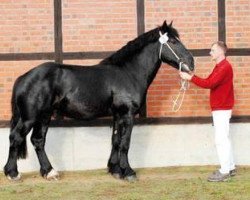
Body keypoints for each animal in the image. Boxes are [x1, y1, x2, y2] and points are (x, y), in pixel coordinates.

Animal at [4, 21, 194, 182]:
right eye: (173, 41)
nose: (191, 62)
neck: (128, 72)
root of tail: (24, 77)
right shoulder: (127, 114)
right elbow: (125, 143)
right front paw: (128, 172)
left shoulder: (118, 115)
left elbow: (116, 140)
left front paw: (115, 170)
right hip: (30, 117)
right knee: (16, 137)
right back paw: (12, 173)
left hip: (44, 115)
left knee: (38, 140)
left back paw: (49, 172)